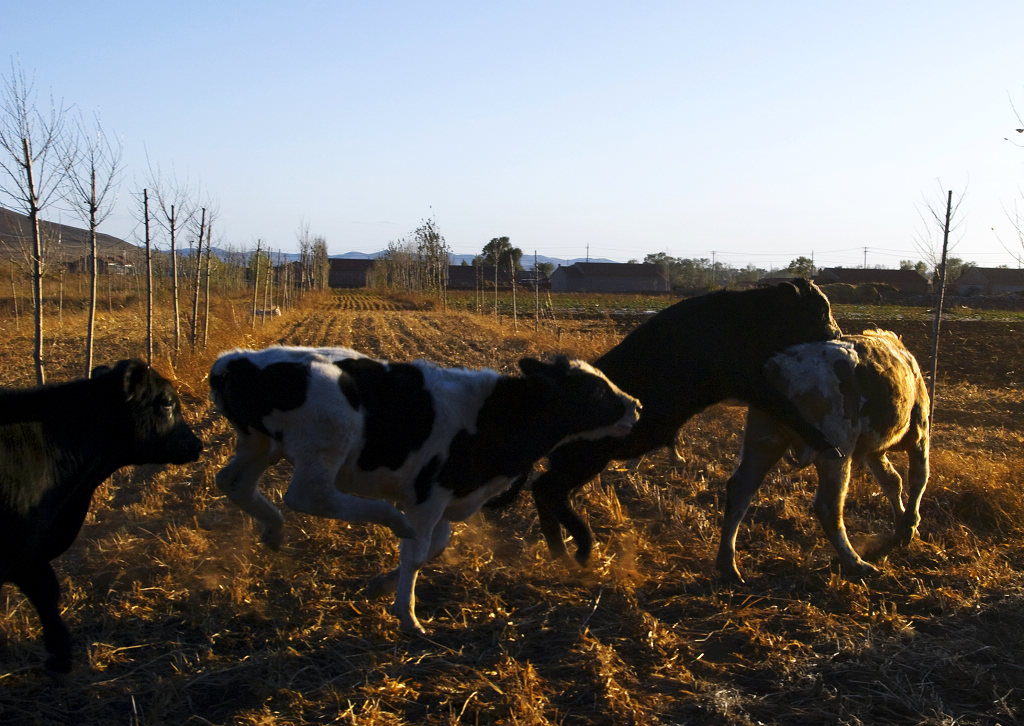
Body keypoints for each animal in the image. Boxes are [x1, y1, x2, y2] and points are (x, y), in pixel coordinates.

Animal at [208, 346, 638, 634]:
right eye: (594, 391)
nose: (635, 404)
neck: (492, 416)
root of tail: (235, 361)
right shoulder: (428, 494)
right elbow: (416, 552)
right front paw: (408, 616)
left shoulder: (448, 500)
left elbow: (435, 548)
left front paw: (381, 585)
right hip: (325, 444)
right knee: (307, 495)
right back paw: (390, 519)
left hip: (259, 443)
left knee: (232, 481)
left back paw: (273, 529)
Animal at [524, 278, 843, 565]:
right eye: (820, 309)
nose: (838, 333)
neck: (748, 321)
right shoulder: (749, 382)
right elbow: (788, 409)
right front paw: (829, 446)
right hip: (586, 459)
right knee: (546, 489)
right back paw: (574, 550)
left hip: (580, 463)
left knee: (546, 491)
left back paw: (560, 552)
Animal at [716, 331, 933, 581]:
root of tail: (779, 367)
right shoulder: (919, 432)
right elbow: (918, 478)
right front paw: (909, 526)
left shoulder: (873, 452)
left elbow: (892, 482)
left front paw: (902, 524)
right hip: (837, 451)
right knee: (828, 506)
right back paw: (855, 563)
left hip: (763, 440)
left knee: (740, 489)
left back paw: (728, 566)